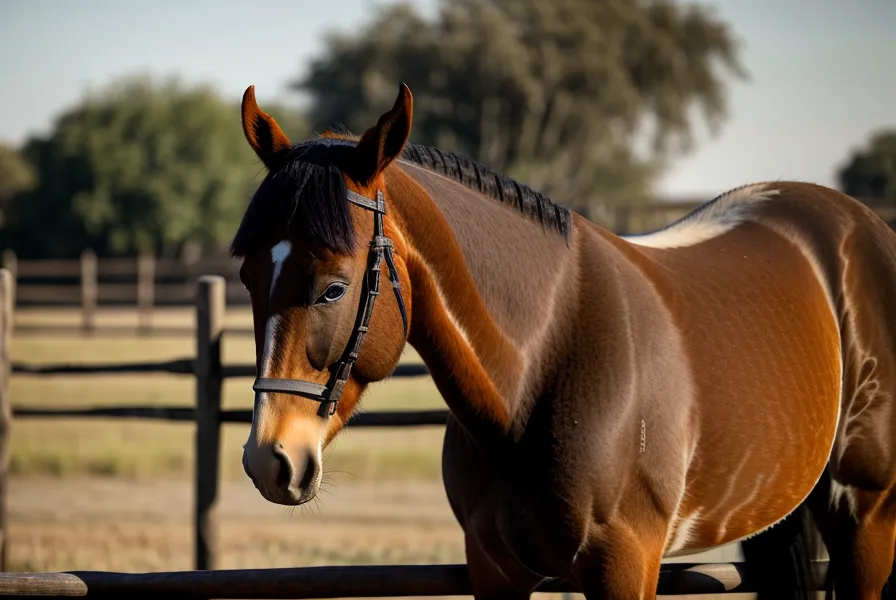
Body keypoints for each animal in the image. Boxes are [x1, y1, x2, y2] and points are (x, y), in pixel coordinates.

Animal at [233, 82, 896, 600]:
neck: (541, 365)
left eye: (333, 288)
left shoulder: (622, 569)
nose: (271, 461)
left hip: (867, 513)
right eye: (248, 278)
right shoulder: (496, 572)